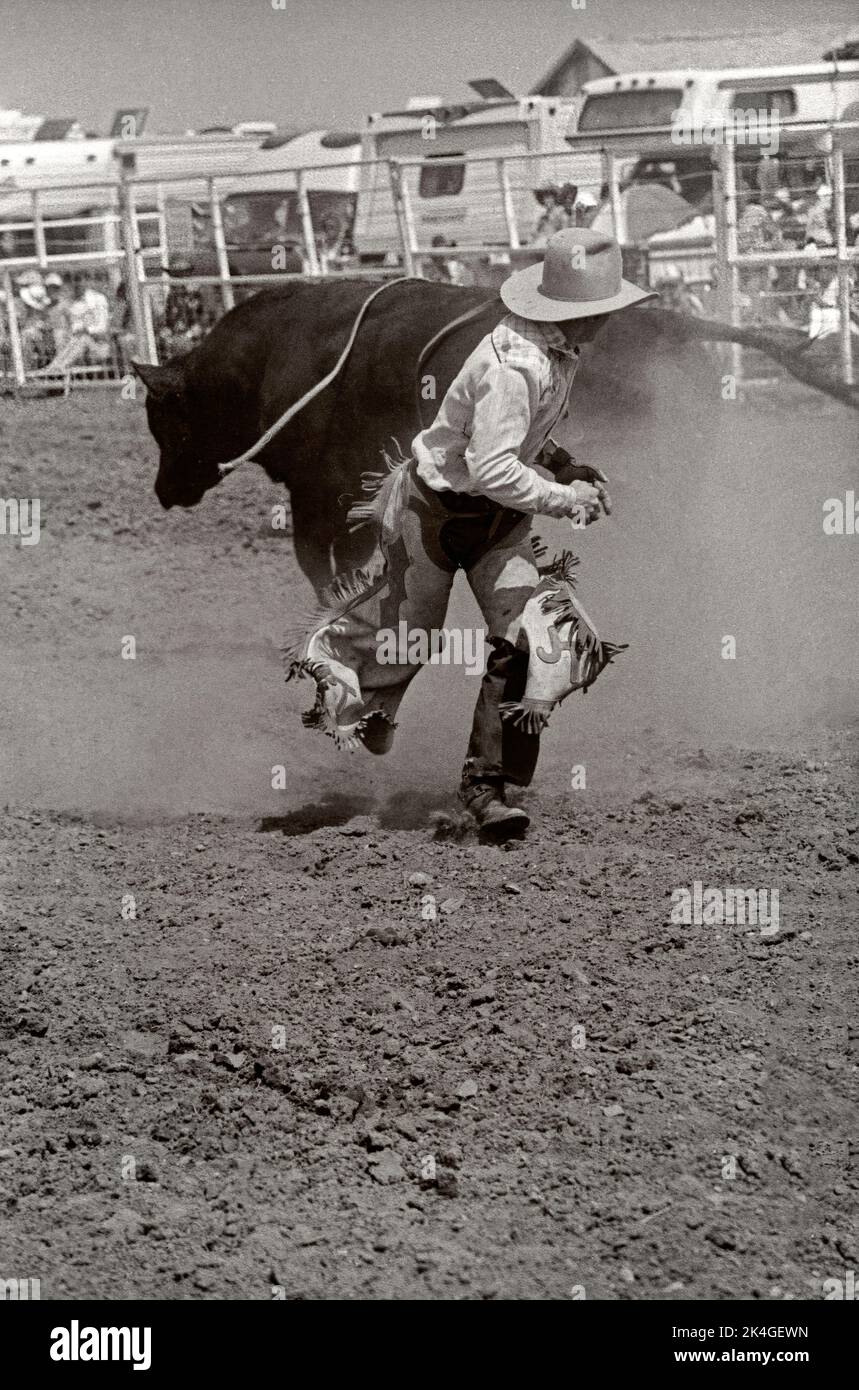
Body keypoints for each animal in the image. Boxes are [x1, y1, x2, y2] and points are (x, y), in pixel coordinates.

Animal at [134, 277, 857, 596]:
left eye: (162, 418)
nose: (164, 491)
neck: (274, 356)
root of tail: (668, 324)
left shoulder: (320, 495)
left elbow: (322, 567)